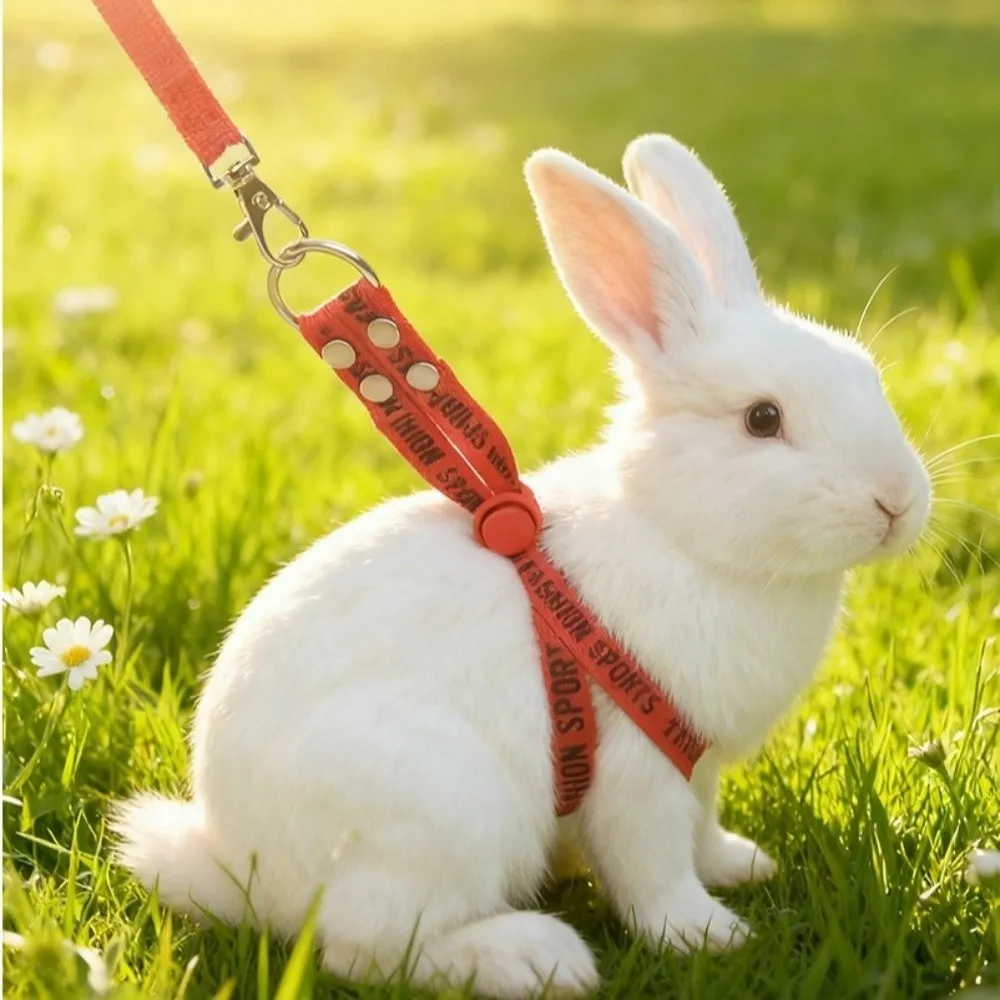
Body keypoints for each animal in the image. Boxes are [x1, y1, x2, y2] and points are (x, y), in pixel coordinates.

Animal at [113, 134, 931, 999]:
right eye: (763, 419)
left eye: (865, 372)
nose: (899, 501)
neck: (676, 530)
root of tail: (236, 864)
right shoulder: (634, 772)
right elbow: (653, 870)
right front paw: (708, 935)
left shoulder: (695, 764)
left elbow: (701, 830)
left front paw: (741, 866)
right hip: (442, 809)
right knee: (367, 947)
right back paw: (537, 959)